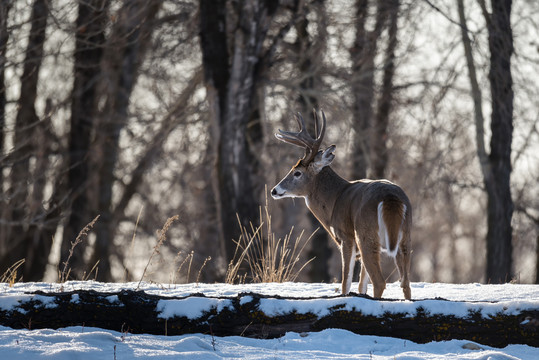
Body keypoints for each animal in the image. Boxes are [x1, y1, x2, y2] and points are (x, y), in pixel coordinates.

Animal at [270, 111, 414, 300]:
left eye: (297, 173)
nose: (274, 190)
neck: (335, 199)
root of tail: (391, 198)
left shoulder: (345, 236)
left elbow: (346, 282)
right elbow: (361, 285)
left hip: (365, 234)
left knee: (380, 282)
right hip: (405, 237)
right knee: (405, 283)